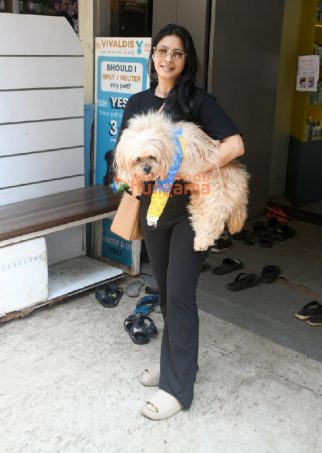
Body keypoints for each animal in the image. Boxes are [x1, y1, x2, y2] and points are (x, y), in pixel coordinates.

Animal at [113, 110, 249, 251]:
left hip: (215, 199)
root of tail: (241, 176)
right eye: (137, 159)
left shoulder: (168, 173)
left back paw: (202, 242)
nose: (147, 169)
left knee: (213, 222)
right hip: (200, 201)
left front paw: (152, 217)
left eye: (152, 156)